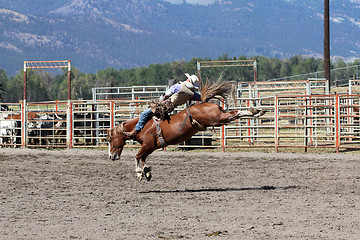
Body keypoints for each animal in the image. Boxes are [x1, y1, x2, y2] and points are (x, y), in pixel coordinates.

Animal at [106, 79, 264, 181]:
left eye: (110, 139)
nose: (111, 156)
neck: (143, 126)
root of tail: (205, 102)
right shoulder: (150, 148)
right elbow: (142, 158)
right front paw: (147, 172)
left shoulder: (147, 145)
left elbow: (137, 156)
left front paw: (140, 173)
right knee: (233, 114)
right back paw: (257, 111)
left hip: (217, 118)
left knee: (233, 114)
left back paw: (255, 111)